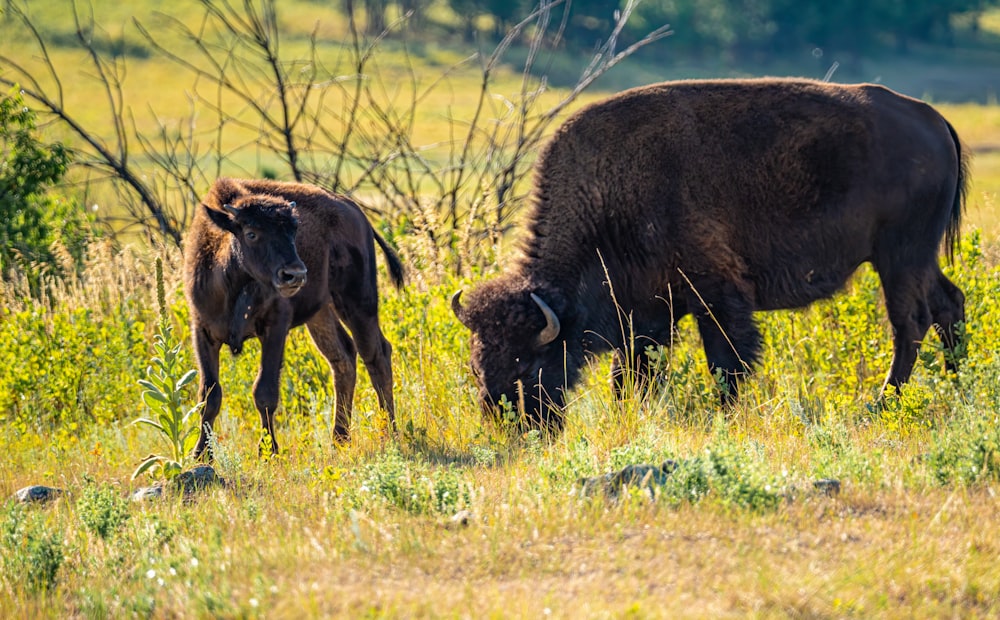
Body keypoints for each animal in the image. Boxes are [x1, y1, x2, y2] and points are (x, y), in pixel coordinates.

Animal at [186, 174, 404, 456]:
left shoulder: (275, 327)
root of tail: (356, 212)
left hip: (358, 303)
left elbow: (264, 391)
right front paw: (201, 454)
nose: (295, 274)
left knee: (376, 355)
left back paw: (389, 434)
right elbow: (209, 394)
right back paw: (339, 439)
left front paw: (268, 451)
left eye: (293, 231)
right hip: (321, 314)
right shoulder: (203, 331)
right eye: (251, 233)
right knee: (343, 358)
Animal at [454, 76, 968, 432]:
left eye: (527, 363)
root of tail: (933, 120)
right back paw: (959, 387)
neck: (608, 197)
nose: (512, 427)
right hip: (916, 258)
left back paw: (883, 403)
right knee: (949, 304)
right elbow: (633, 376)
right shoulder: (645, 314)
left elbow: (726, 361)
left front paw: (723, 415)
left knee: (910, 323)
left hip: (899, 256)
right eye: (477, 365)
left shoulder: (715, 295)